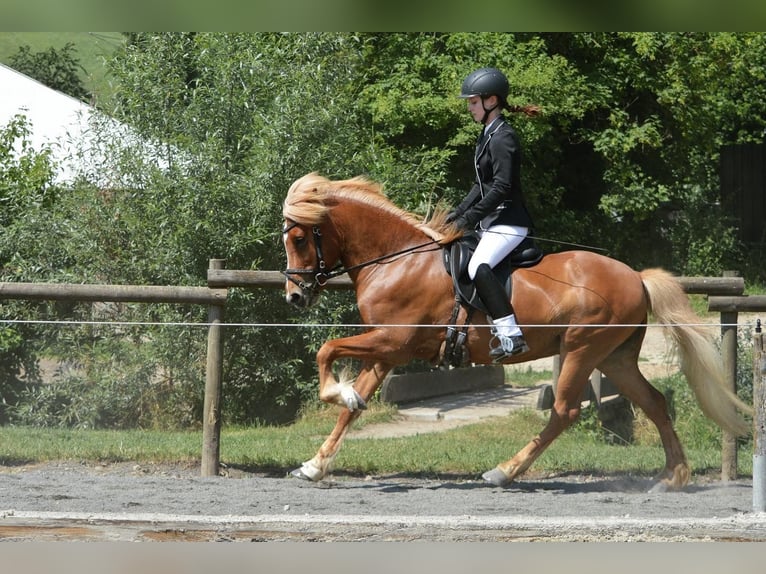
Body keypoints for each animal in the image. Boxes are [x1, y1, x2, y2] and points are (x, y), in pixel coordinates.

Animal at [281, 172, 751, 490]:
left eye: (300, 238)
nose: (294, 297)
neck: (396, 259)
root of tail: (635, 276)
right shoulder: (387, 351)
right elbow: (352, 408)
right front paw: (315, 463)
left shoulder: (393, 340)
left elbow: (326, 349)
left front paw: (335, 392)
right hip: (613, 357)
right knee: (653, 402)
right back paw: (673, 476)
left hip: (582, 349)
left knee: (565, 411)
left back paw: (504, 471)